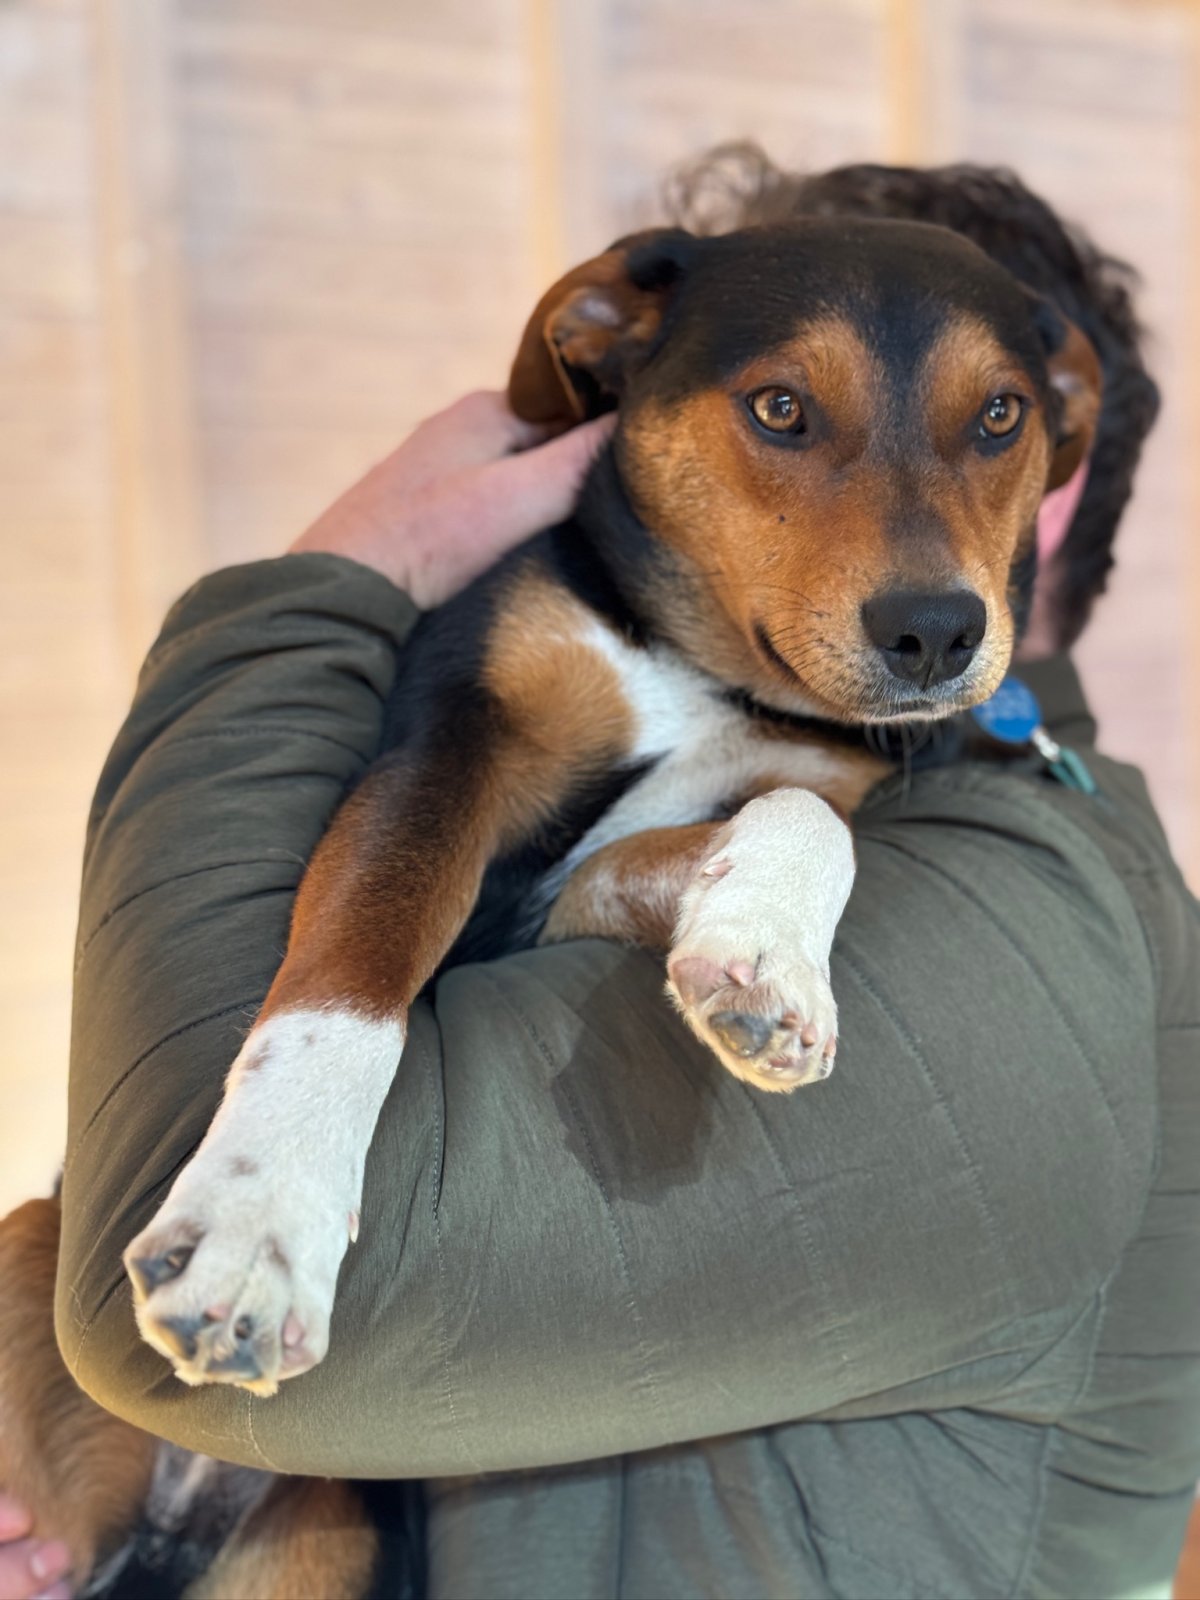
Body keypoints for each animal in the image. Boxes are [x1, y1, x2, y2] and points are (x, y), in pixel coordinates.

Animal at [2, 152, 1164, 1600]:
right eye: (780, 408)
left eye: (1002, 415)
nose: (941, 632)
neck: (702, 665)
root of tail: (172, 1514)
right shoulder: (446, 754)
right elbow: (351, 975)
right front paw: (260, 1218)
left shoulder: (585, 881)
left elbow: (790, 811)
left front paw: (761, 959)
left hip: (320, 1541)